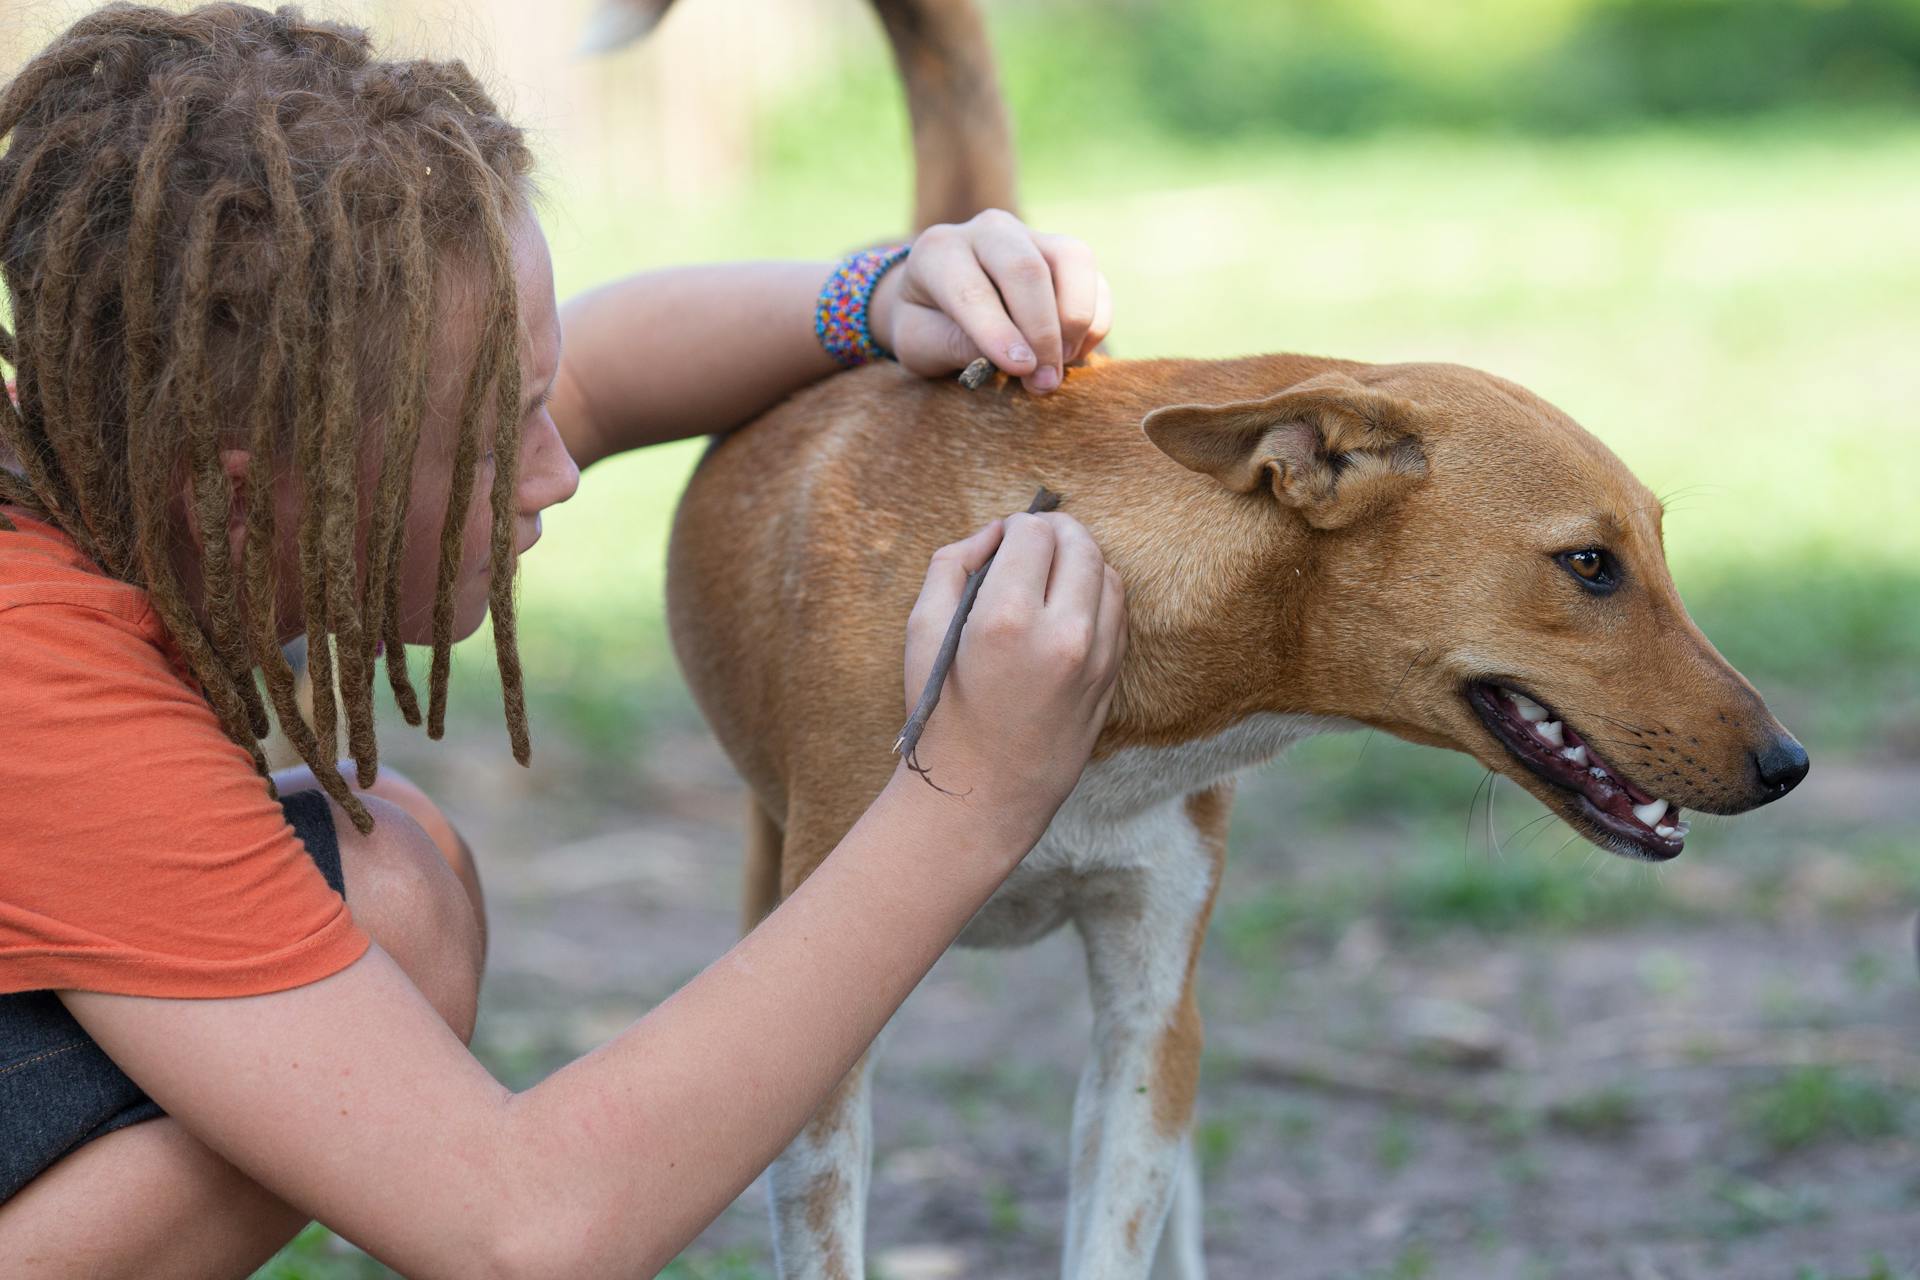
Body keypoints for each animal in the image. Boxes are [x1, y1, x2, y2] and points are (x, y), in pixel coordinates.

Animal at [625, 0, 1797, 1274]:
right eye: (1589, 564)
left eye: (1657, 550)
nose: (1790, 763)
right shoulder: (820, 1059)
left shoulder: (1152, 1012)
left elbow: (1121, 1219)